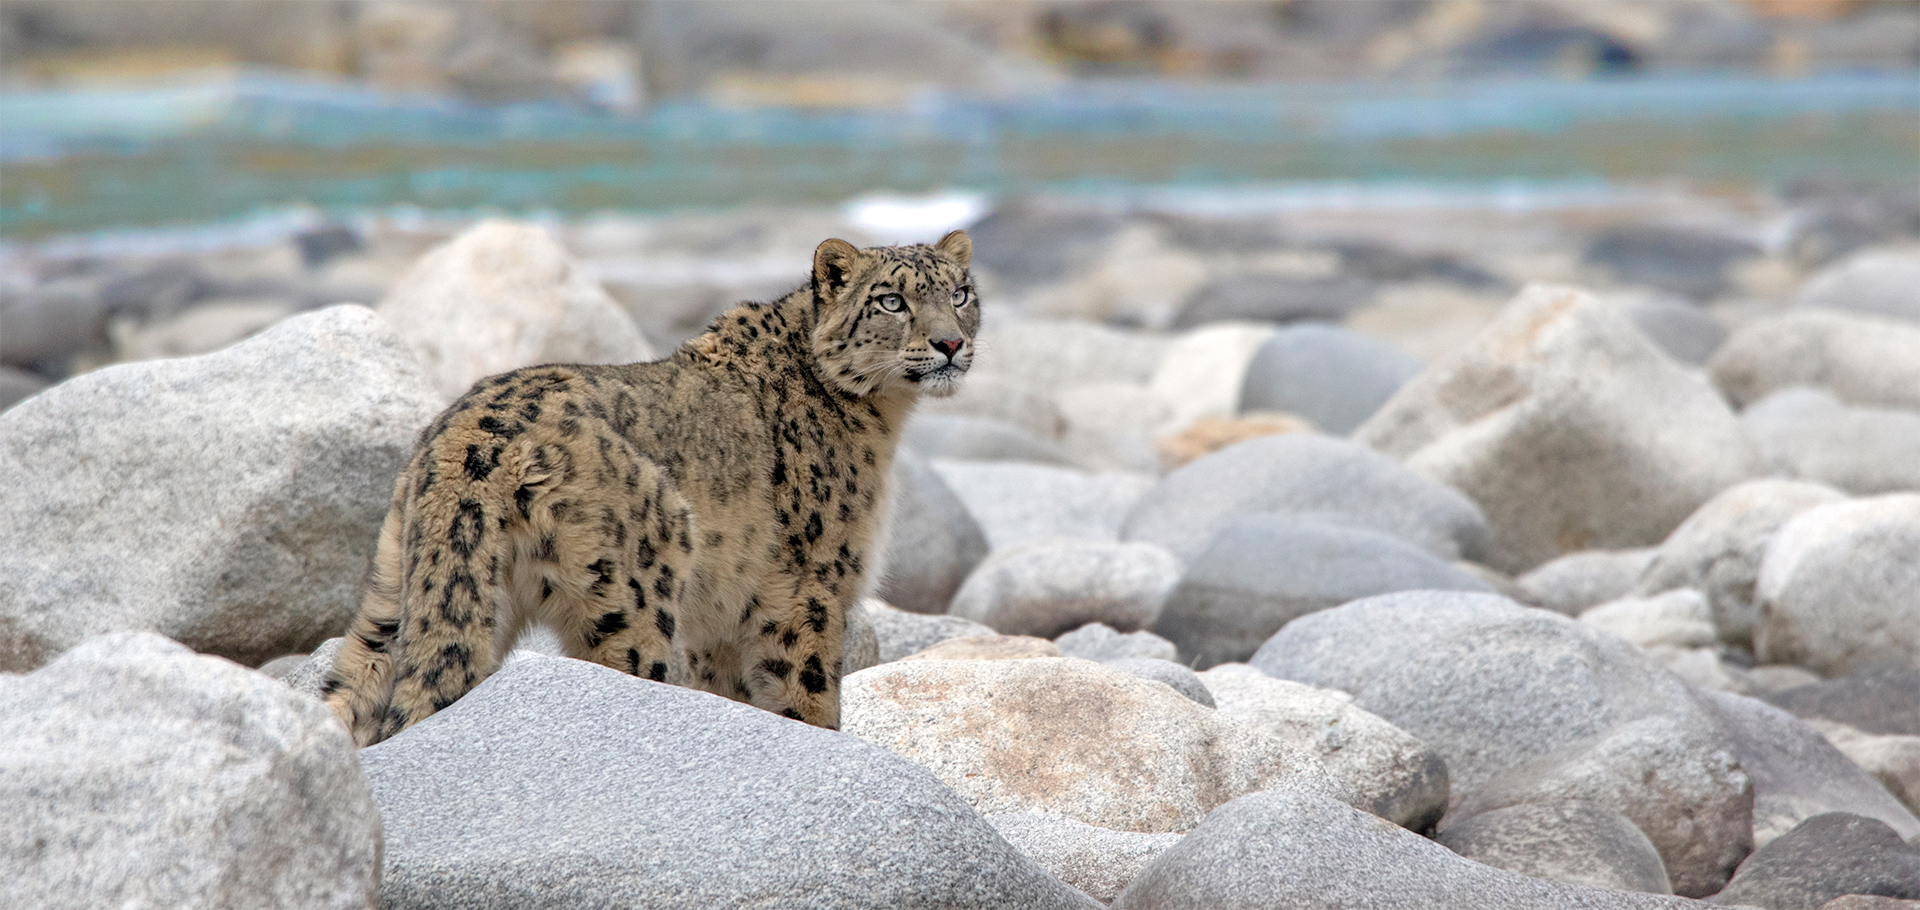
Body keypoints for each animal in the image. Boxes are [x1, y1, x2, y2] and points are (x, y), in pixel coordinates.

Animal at [322, 231, 977, 746]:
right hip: (631, 598)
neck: (883, 422)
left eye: (960, 294)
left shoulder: (722, 622)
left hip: (394, 591)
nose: (950, 343)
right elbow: (807, 698)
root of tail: (464, 440)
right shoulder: (811, 590)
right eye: (891, 300)